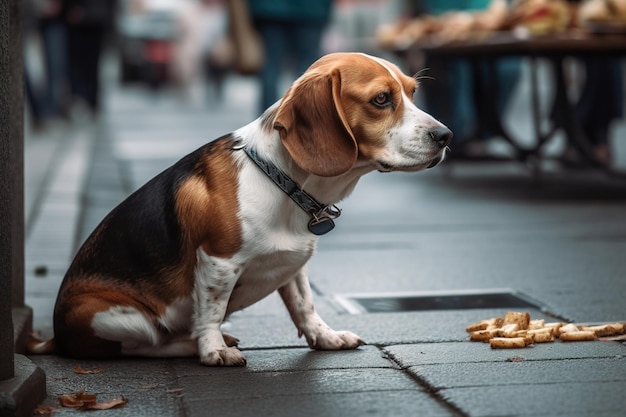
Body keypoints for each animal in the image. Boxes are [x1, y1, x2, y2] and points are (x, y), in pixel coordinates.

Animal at [29, 51, 450, 364]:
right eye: (381, 99)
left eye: (412, 93)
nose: (445, 135)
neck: (281, 179)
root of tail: (56, 338)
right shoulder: (218, 261)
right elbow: (212, 309)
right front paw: (212, 349)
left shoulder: (294, 265)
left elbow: (305, 305)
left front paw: (325, 337)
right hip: (119, 319)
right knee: (143, 346)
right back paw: (196, 345)